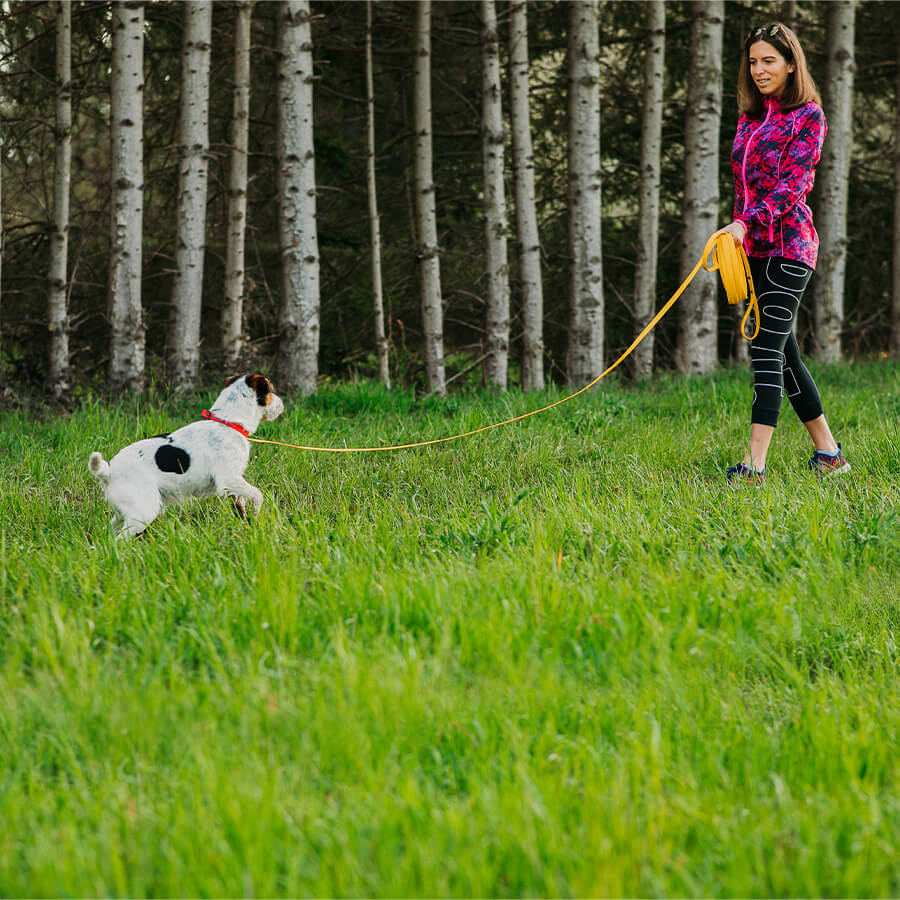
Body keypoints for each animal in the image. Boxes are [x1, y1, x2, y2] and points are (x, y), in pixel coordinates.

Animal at [87, 374, 284, 536]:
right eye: (270, 391)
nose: (282, 404)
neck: (228, 422)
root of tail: (109, 471)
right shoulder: (228, 479)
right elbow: (258, 494)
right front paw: (257, 516)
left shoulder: (233, 484)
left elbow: (240, 503)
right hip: (143, 513)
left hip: (123, 514)